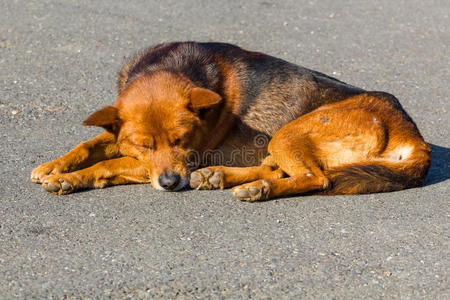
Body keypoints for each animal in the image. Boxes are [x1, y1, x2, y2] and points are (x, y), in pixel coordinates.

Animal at [29, 41, 430, 200]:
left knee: (316, 179)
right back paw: (224, 178)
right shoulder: (130, 142)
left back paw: (258, 189)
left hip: (288, 134)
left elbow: (108, 163)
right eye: (145, 143)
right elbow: (90, 143)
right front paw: (55, 167)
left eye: (182, 140)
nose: (172, 184)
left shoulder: (183, 160)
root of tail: (412, 133)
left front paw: (71, 179)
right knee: (281, 169)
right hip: (279, 144)